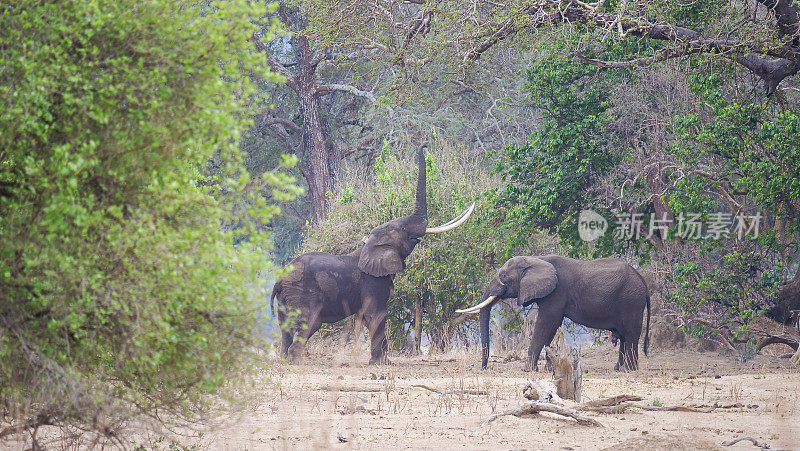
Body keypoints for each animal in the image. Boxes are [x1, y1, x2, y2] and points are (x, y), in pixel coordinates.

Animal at [274, 147, 476, 366]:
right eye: (403, 229)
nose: (423, 146)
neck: (370, 245)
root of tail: (280, 280)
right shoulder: (371, 281)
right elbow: (376, 315)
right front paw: (379, 364)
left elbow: (367, 317)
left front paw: (385, 363)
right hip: (303, 293)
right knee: (310, 323)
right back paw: (295, 362)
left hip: (286, 299)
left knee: (285, 328)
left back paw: (284, 360)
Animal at [456, 256, 648, 372]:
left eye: (503, 276)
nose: (484, 368)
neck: (536, 260)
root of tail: (642, 280)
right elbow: (551, 327)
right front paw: (549, 369)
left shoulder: (557, 292)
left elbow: (546, 323)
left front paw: (528, 370)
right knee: (624, 335)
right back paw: (619, 368)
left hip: (631, 301)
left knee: (631, 333)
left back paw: (630, 369)